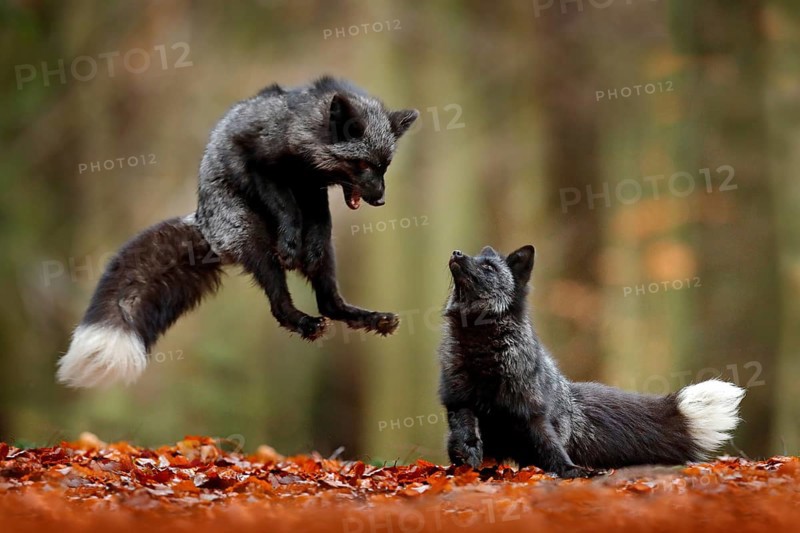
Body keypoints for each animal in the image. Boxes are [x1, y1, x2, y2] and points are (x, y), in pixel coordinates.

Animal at [57, 76, 419, 388]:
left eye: (384, 166)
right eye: (363, 165)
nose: (380, 199)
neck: (299, 131)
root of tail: (202, 220)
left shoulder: (312, 191)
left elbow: (318, 221)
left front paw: (306, 243)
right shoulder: (259, 165)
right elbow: (286, 207)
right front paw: (290, 242)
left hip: (327, 256)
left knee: (329, 302)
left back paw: (372, 319)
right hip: (255, 243)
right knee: (279, 307)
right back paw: (303, 320)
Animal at [439, 245, 745, 478]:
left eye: (489, 268)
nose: (455, 252)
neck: (480, 349)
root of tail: (570, 395)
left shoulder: (532, 411)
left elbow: (551, 448)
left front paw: (571, 471)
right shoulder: (458, 400)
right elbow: (466, 430)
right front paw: (467, 458)